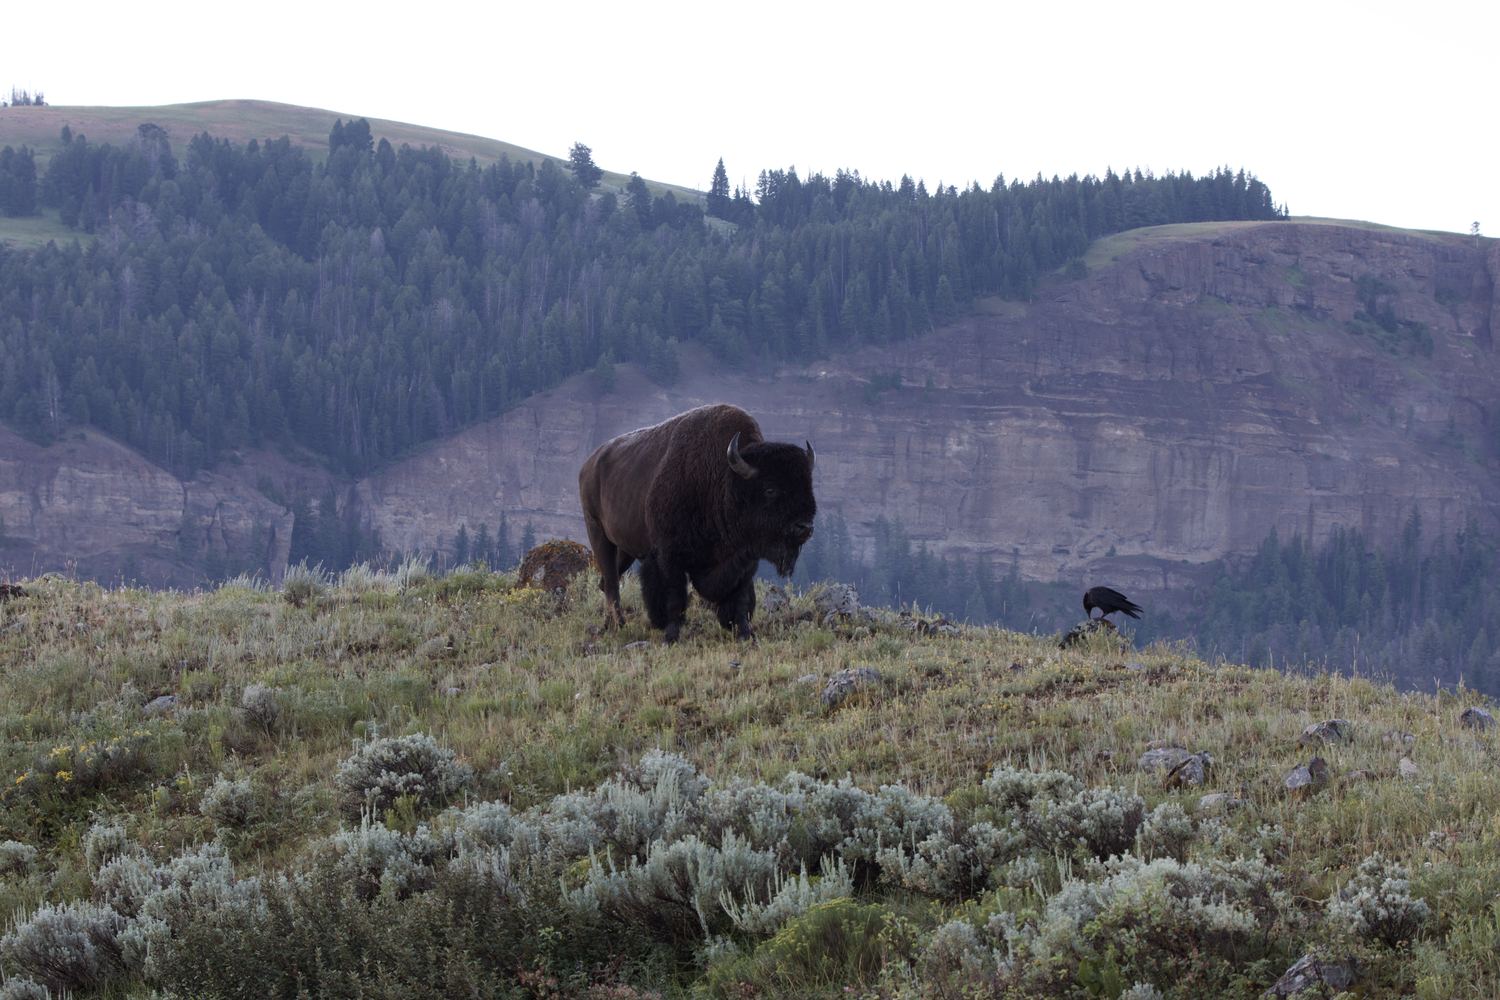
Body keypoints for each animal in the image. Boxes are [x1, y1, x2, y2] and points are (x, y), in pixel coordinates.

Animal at [578, 404, 816, 643]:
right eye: (770, 489)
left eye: (808, 485)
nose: (804, 527)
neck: (724, 480)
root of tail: (588, 465)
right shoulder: (669, 557)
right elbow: (674, 599)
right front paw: (671, 636)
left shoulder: (744, 560)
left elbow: (740, 599)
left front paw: (745, 634)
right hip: (598, 533)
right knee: (611, 582)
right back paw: (618, 624)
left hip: (626, 548)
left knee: (606, 581)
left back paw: (609, 625)